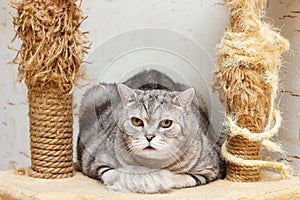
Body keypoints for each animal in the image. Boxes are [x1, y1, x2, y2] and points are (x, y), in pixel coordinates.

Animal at [77, 69, 225, 193]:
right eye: (136, 121)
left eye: (166, 123)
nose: (149, 136)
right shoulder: (97, 160)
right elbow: (114, 173)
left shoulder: (210, 168)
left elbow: (178, 178)